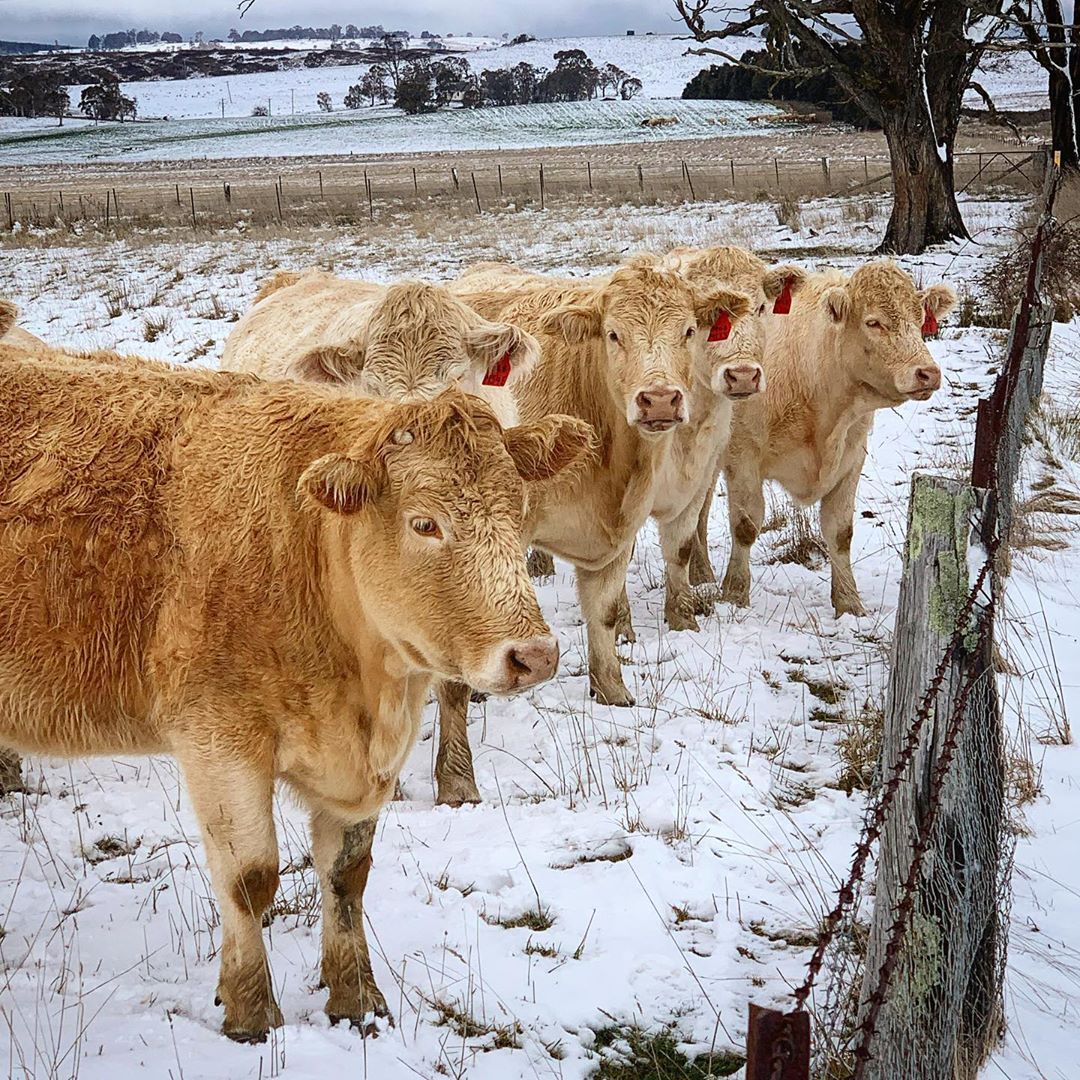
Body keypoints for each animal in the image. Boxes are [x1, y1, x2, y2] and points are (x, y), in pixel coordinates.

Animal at [0, 343, 591, 1036]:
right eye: (425, 524)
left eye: (520, 511)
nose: (534, 654)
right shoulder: (217, 739)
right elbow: (250, 878)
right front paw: (251, 1010)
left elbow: (346, 874)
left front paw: (356, 998)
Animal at [678, 254, 959, 617]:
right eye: (873, 322)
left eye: (920, 319)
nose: (927, 372)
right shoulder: (743, 458)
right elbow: (746, 525)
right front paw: (735, 594)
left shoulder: (851, 458)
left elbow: (840, 532)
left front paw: (849, 602)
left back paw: (700, 573)